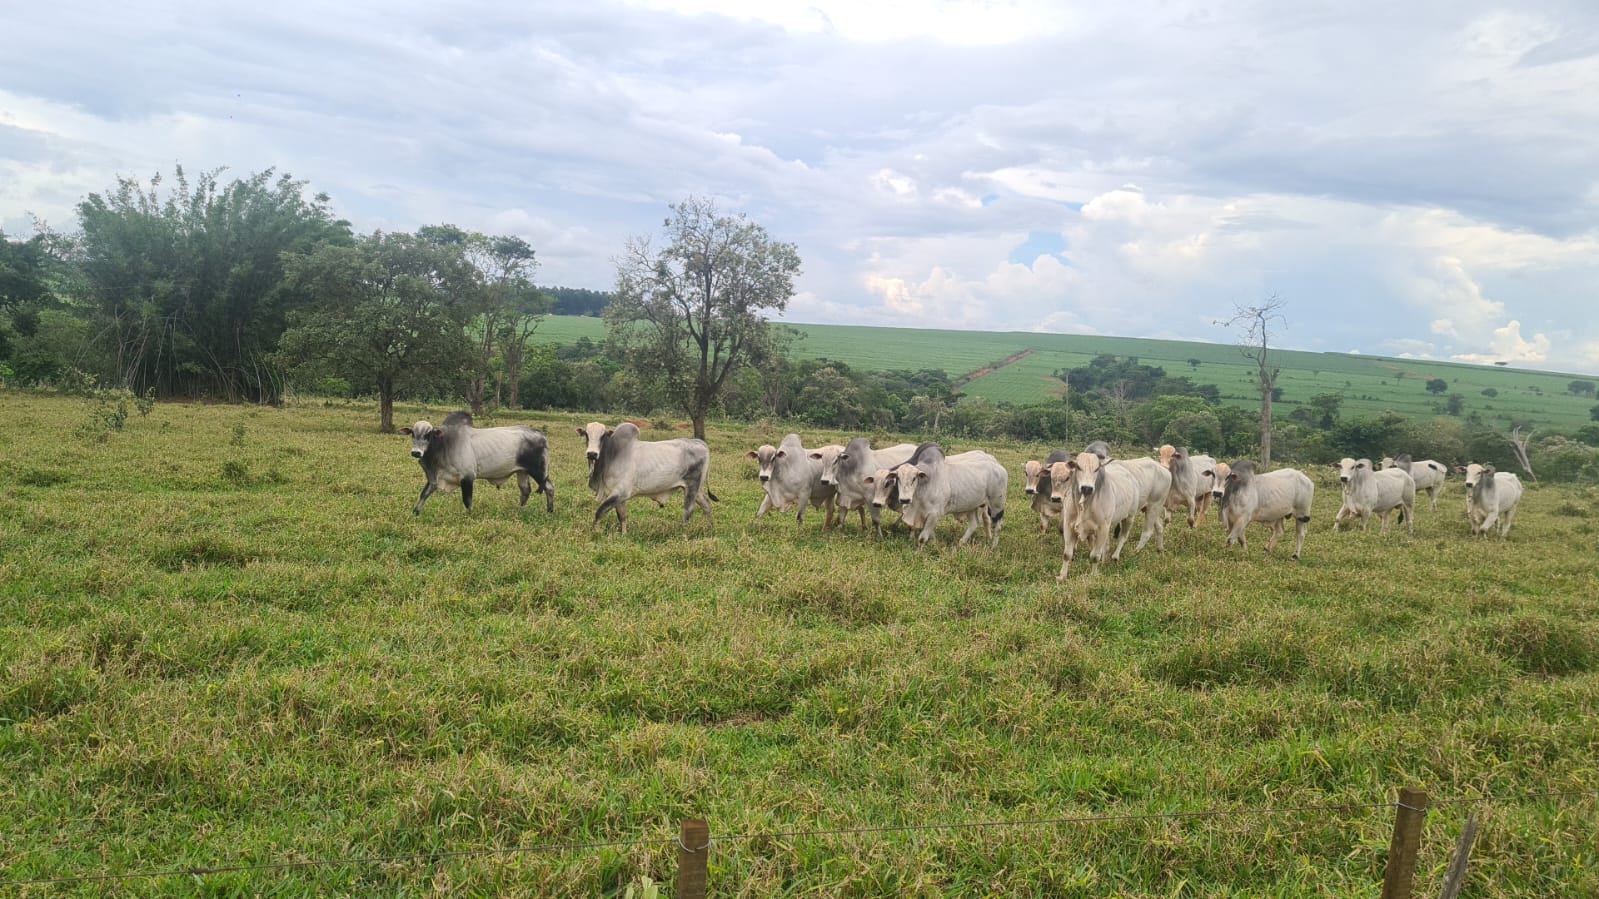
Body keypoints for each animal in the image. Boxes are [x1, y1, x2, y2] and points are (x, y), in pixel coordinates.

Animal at [400, 412, 554, 517]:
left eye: (428, 435)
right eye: (413, 434)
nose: (416, 452)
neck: (445, 444)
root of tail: (541, 434)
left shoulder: (467, 477)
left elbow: (467, 500)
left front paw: (469, 515)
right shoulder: (434, 477)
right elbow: (424, 493)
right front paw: (416, 511)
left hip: (538, 471)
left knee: (549, 488)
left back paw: (550, 511)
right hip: (522, 472)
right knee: (525, 491)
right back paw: (518, 510)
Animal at [579, 421, 716, 534]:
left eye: (603, 436)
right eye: (586, 434)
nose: (592, 454)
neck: (613, 454)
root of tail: (700, 443)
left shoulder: (620, 493)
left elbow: (600, 512)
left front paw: (595, 533)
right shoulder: (618, 496)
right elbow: (622, 516)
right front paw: (623, 535)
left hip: (692, 487)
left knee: (688, 511)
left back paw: (682, 533)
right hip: (696, 489)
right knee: (706, 505)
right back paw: (708, 528)